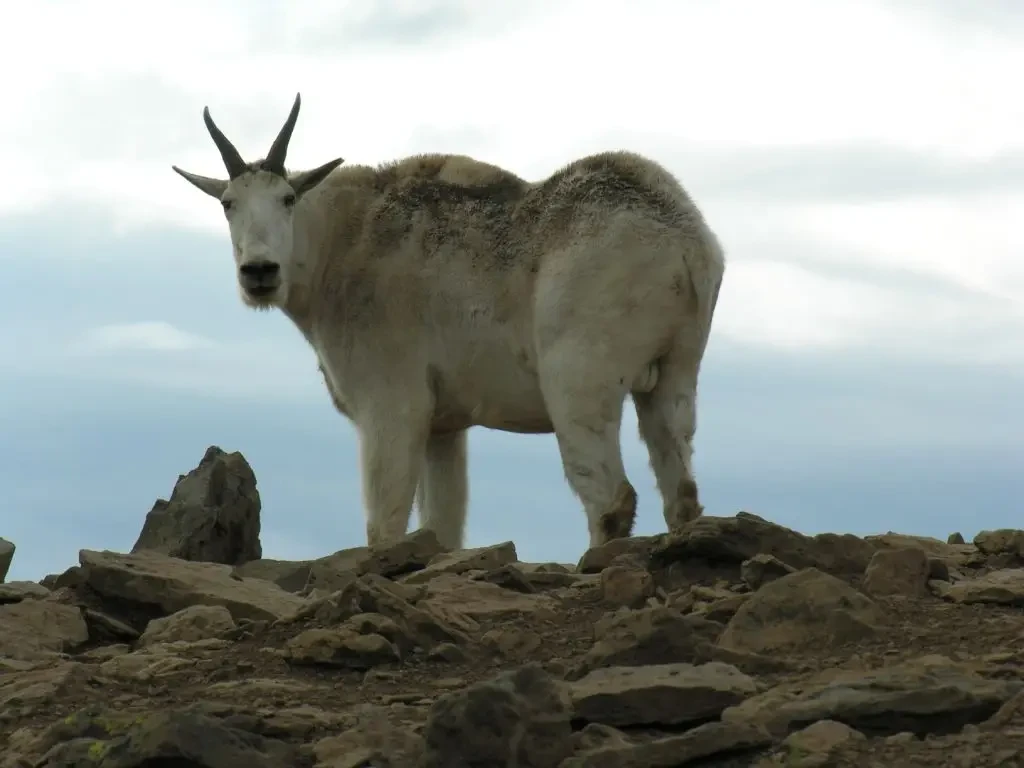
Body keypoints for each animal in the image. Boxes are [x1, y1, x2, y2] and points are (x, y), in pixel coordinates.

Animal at [172, 93, 726, 552]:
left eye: (288, 199)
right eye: (228, 204)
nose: (259, 272)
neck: (340, 243)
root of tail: (684, 242)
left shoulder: (391, 405)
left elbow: (385, 526)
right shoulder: (444, 426)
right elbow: (442, 527)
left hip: (579, 382)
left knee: (611, 499)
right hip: (675, 375)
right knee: (681, 492)